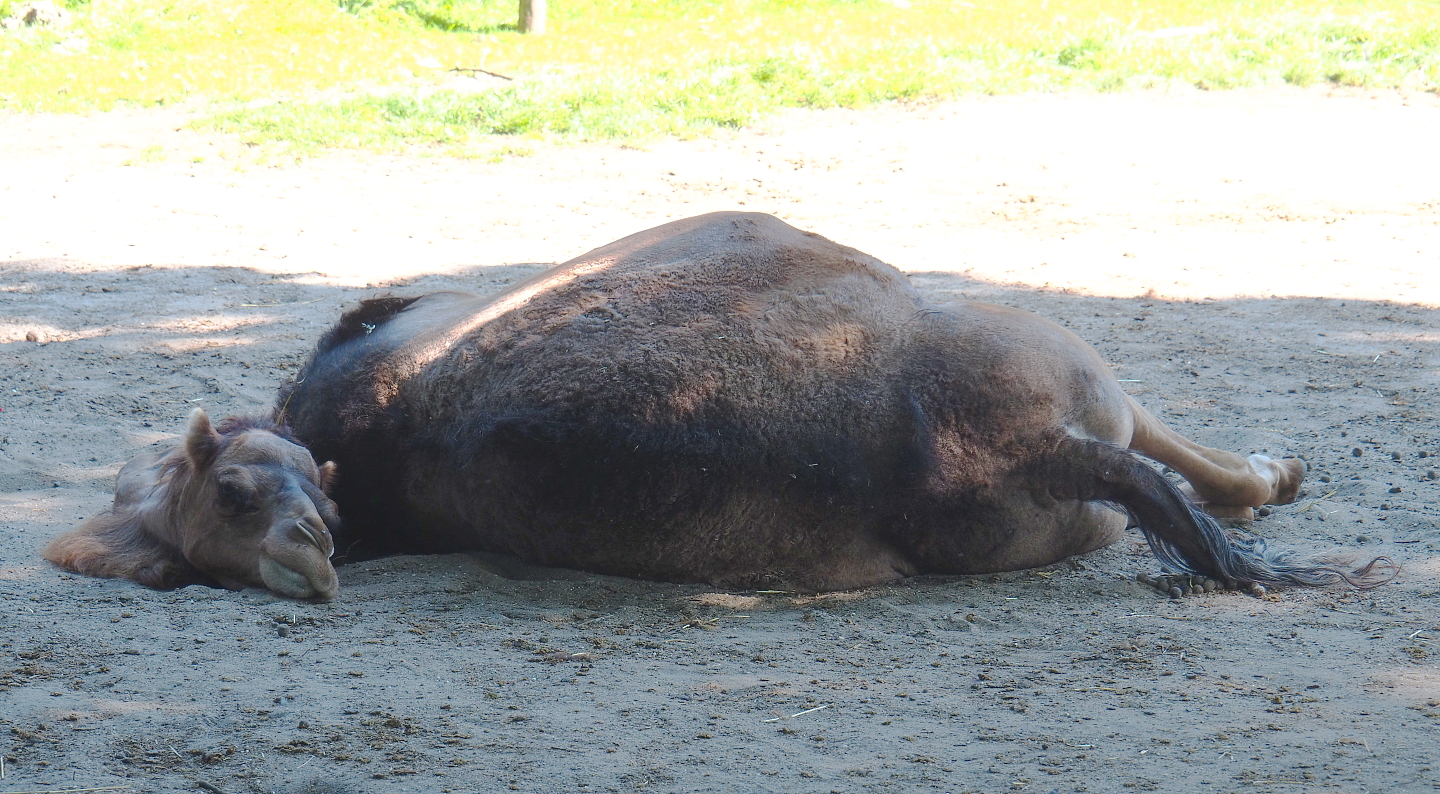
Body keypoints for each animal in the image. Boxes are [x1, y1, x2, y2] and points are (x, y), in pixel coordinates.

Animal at [47, 212, 1391, 600]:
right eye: (229, 491)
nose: (303, 547)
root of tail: (1009, 448)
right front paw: (1275, 477)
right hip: (1067, 365)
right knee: (1176, 456)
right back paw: (1270, 479)